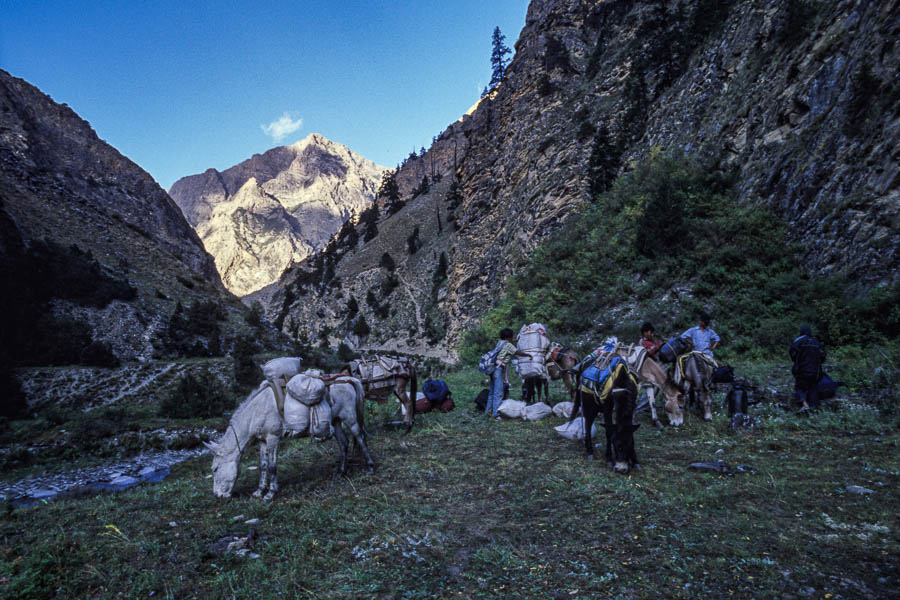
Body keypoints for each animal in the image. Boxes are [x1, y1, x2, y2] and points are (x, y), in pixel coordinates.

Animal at [207, 378, 372, 500]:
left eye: (215, 469)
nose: (217, 495)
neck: (257, 411)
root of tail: (348, 380)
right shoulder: (262, 441)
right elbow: (263, 466)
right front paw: (259, 491)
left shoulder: (273, 438)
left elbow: (272, 466)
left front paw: (270, 493)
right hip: (337, 421)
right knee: (344, 443)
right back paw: (340, 472)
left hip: (350, 419)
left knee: (360, 438)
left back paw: (370, 467)